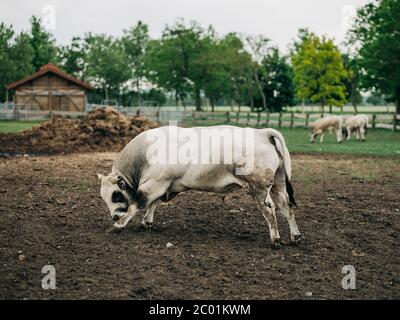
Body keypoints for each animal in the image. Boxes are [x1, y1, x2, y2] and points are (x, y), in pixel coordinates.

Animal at [98, 124, 302, 248]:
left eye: (116, 194)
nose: (114, 215)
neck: (146, 152)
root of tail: (262, 133)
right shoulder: (165, 185)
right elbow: (153, 204)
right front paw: (146, 222)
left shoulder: (154, 184)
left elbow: (136, 205)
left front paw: (118, 225)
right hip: (278, 184)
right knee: (286, 207)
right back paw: (295, 236)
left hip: (258, 188)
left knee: (270, 209)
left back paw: (275, 239)